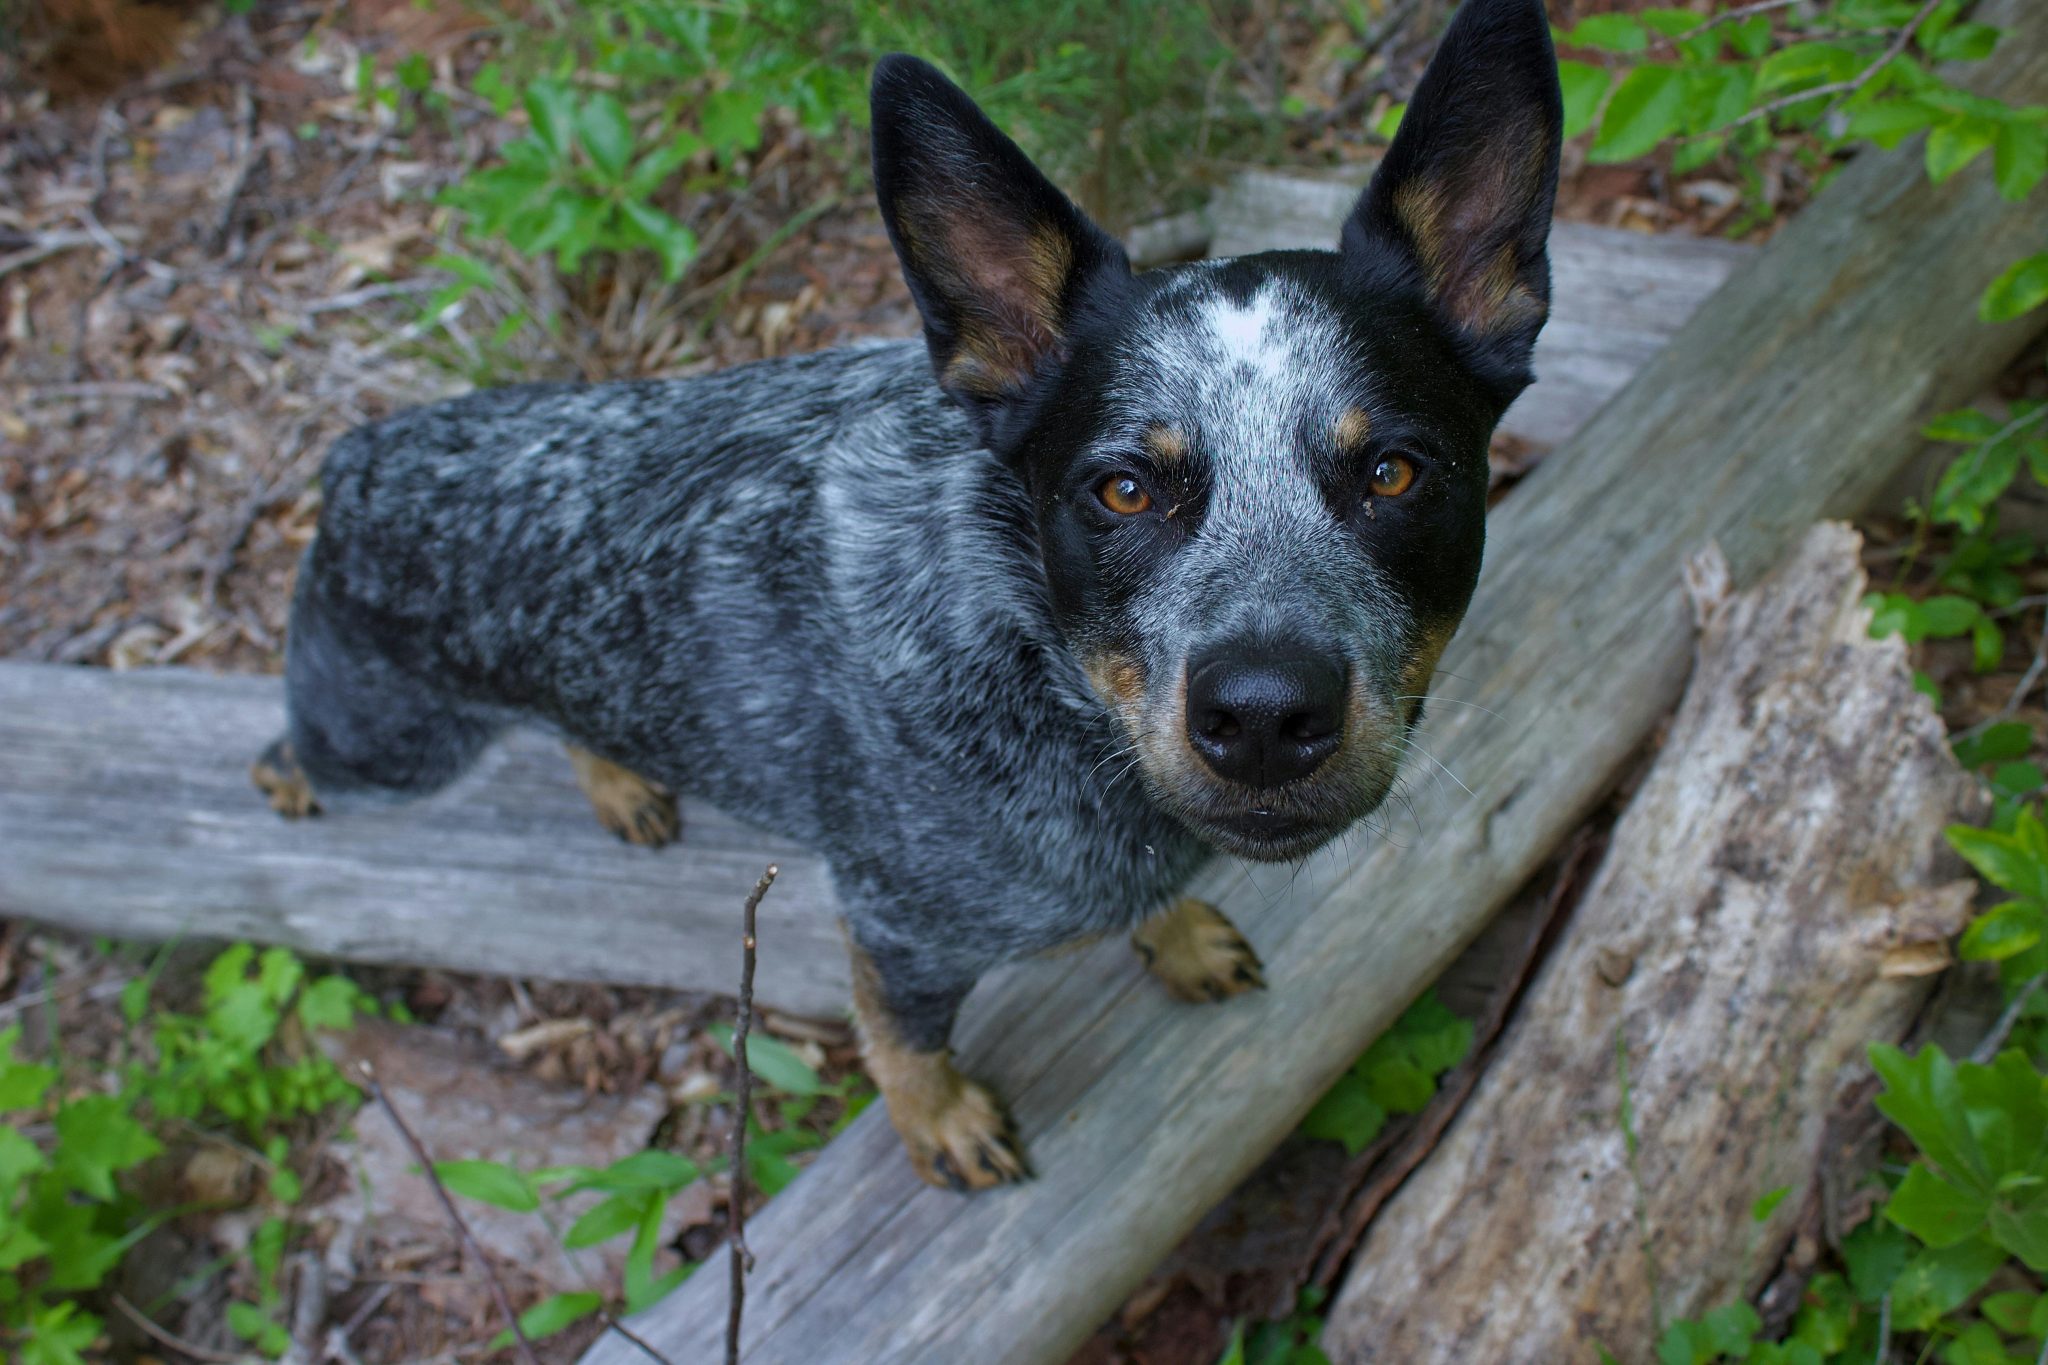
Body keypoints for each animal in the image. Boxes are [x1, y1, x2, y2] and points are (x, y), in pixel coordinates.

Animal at [260, 0, 1564, 1186]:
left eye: (1394, 472)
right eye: (1122, 489)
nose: (1259, 715)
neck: (1035, 669)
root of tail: (362, 453)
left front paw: (1176, 933)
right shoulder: (902, 927)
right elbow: (905, 1044)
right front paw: (938, 1122)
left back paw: (618, 775)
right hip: (387, 746)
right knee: (297, 748)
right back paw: (288, 781)